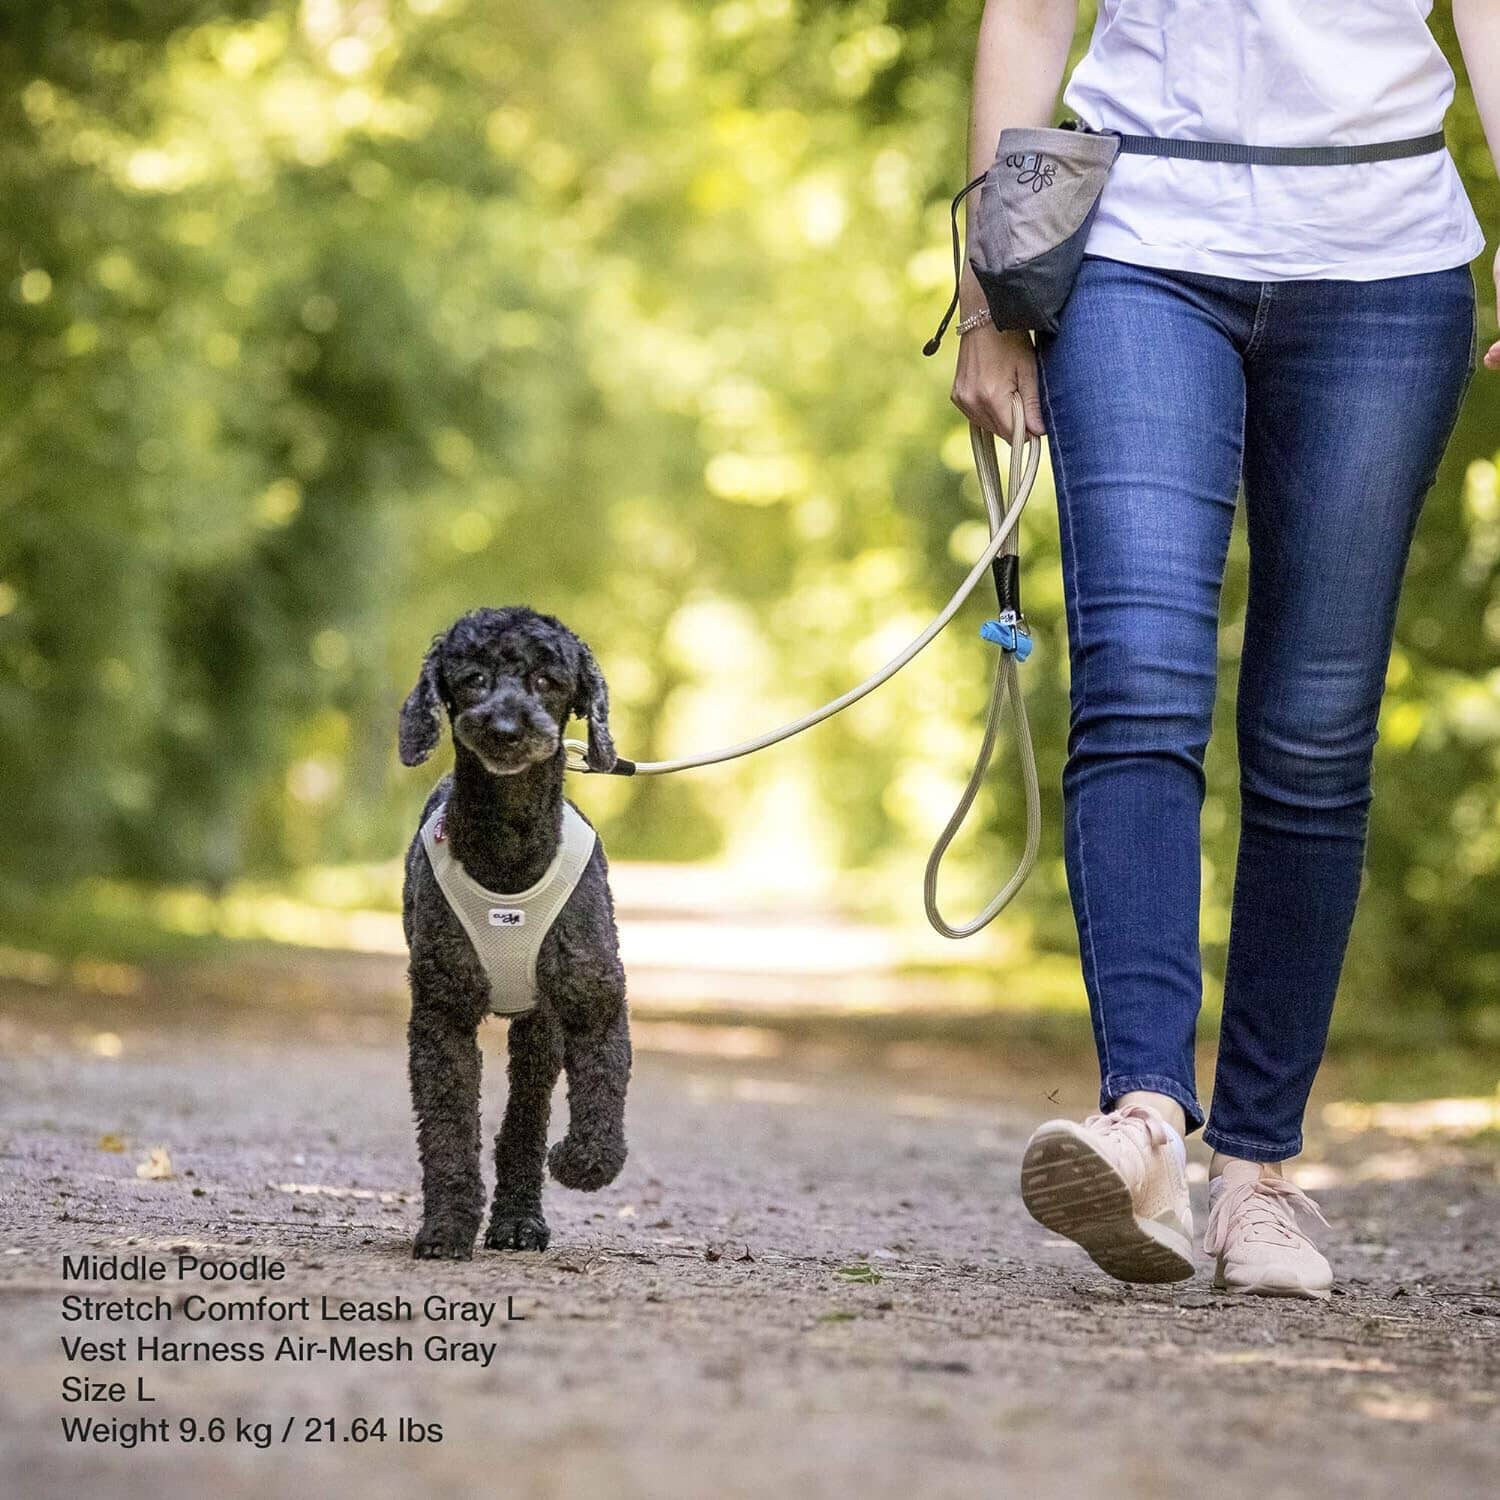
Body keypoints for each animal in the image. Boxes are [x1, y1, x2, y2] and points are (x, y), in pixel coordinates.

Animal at [396, 603, 630, 1260]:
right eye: (472, 678)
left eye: (548, 681)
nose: (504, 727)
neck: (508, 851)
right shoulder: (442, 1013)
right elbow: (448, 1130)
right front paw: (446, 1228)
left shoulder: (594, 997)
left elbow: (602, 1099)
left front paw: (577, 1161)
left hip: (540, 1025)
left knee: (525, 1116)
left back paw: (520, 1219)